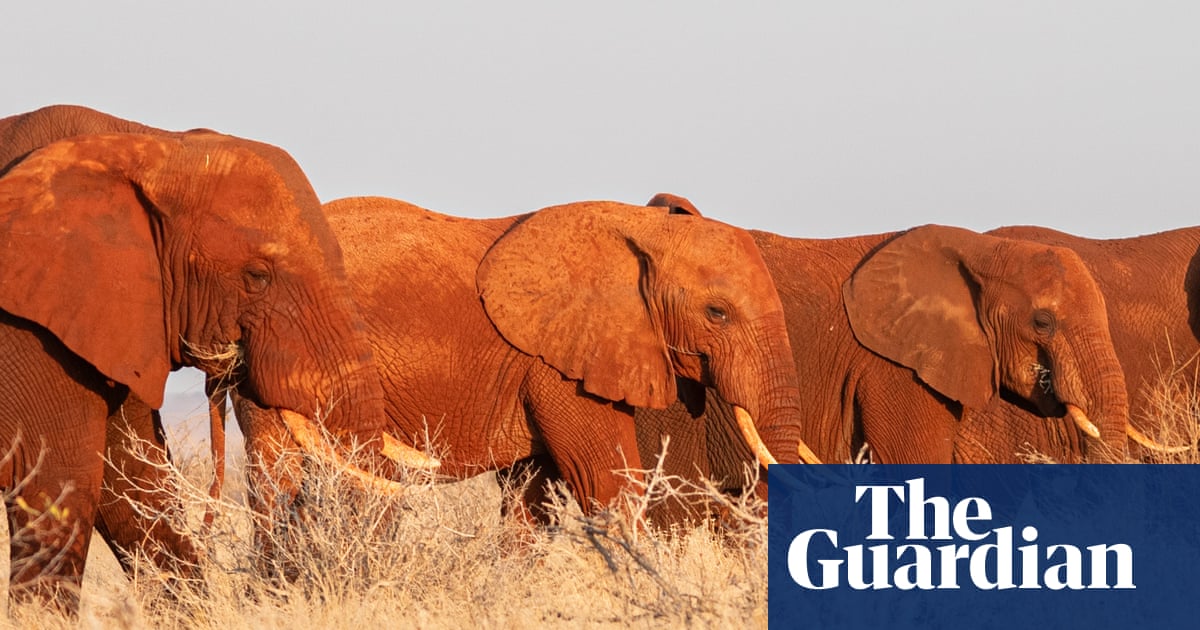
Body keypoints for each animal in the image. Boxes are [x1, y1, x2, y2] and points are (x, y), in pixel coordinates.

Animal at [0, 105, 428, 611]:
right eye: (257, 276)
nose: (298, 502)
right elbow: (60, 485)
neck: (147, 144)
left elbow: (134, 485)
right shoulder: (29, 329)